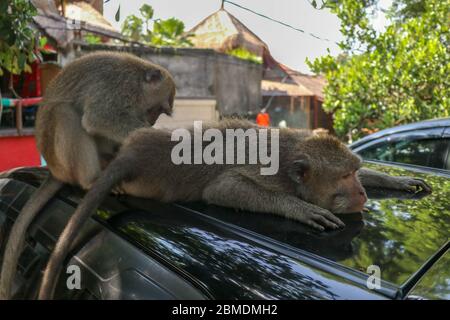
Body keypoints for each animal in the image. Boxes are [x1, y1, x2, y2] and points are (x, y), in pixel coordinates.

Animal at [0, 50, 176, 300]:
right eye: (157, 109)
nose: (152, 121)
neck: (136, 81)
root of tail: (53, 170)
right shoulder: (115, 90)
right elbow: (99, 119)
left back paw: (109, 160)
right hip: (62, 160)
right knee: (66, 113)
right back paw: (91, 180)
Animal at [37, 119, 430, 298]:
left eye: (354, 170)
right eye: (345, 177)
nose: (361, 191)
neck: (292, 157)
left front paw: (397, 180)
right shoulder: (269, 174)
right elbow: (223, 188)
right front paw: (300, 208)